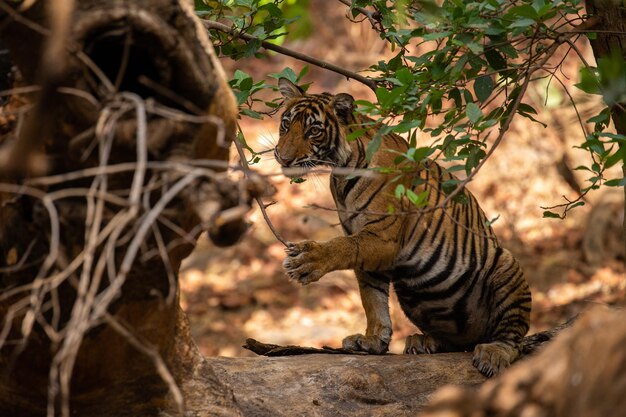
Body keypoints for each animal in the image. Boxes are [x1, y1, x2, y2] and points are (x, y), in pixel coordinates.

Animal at [272, 78, 528, 376]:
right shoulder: (367, 245)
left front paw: (306, 260)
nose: (284, 158)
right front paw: (372, 340)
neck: (342, 171)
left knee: (513, 339)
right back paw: (424, 341)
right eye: (286, 124)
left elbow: (341, 248)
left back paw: (494, 353)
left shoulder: (381, 237)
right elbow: (372, 298)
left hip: (505, 265)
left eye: (313, 131)